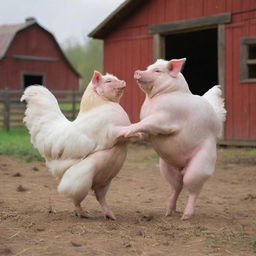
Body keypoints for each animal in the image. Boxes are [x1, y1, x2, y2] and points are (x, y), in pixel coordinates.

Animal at [123, 58, 225, 220]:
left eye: (157, 71)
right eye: (149, 67)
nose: (138, 71)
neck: (154, 98)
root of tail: (183, 168)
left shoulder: (164, 118)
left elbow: (146, 123)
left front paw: (127, 130)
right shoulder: (149, 131)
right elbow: (144, 131)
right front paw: (130, 135)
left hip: (200, 166)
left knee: (193, 189)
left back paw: (186, 216)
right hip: (166, 167)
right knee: (177, 186)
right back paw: (168, 212)